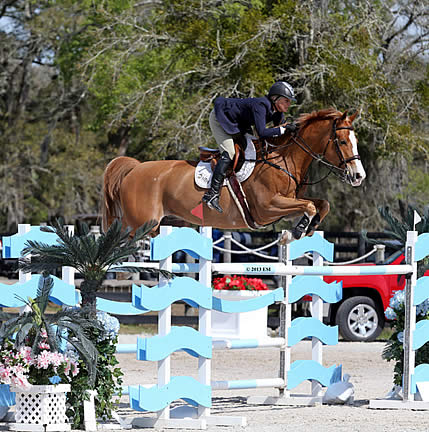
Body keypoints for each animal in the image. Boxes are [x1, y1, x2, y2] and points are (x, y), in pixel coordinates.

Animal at [101, 107, 364, 241]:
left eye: (356, 140)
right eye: (342, 141)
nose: (359, 176)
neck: (284, 160)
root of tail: (135, 168)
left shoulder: (288, 203)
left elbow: (321, 204)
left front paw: (308, 228)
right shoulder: (267, 208)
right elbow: (309, 206)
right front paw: (296, 233)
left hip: (152, 225)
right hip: (141, 224)